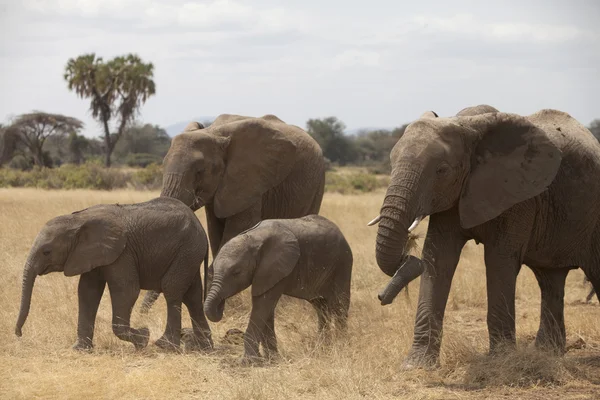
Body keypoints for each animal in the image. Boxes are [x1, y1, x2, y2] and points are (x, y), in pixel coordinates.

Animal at [14, 198, 213, 352]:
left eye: (46, 252)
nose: (18, 334)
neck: (78, 220)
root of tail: (201, 227)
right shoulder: (90, 254)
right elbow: (87, 292)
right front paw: (79, 349)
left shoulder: (122, 254)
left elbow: (126, 291)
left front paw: (143, 338)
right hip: (189, 254)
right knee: (193, 297)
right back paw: (204, 348)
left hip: (186, 250)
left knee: (172, 290)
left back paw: (165, 346)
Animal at [139, 112, 324, 312]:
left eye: (200, 171)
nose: (142, 316)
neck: (213, 132)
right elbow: (215, 234)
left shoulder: (249, 180)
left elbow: (237, 231)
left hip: (316, 185)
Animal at [204, 216, 352, 362]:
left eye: (236, 272)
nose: (221, 303)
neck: (252, 238)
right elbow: (266, 309)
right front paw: (271, 359)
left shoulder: (276, 268)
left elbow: (262, 306)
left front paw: (249, 361)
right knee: (321, 308)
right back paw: (322, 349)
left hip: (342, 265)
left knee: (339, 306)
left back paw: (340, 346)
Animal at [370, 104, 600, 368]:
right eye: (391, 163)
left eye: (441, 170)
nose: (381, 297)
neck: (467, 127)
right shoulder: (452, 198)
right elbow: (438, 257)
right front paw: (417, 366)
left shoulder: (519, 194)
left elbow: (498, 260)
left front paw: (502, 361)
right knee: (550, 279)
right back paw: (547, 353)